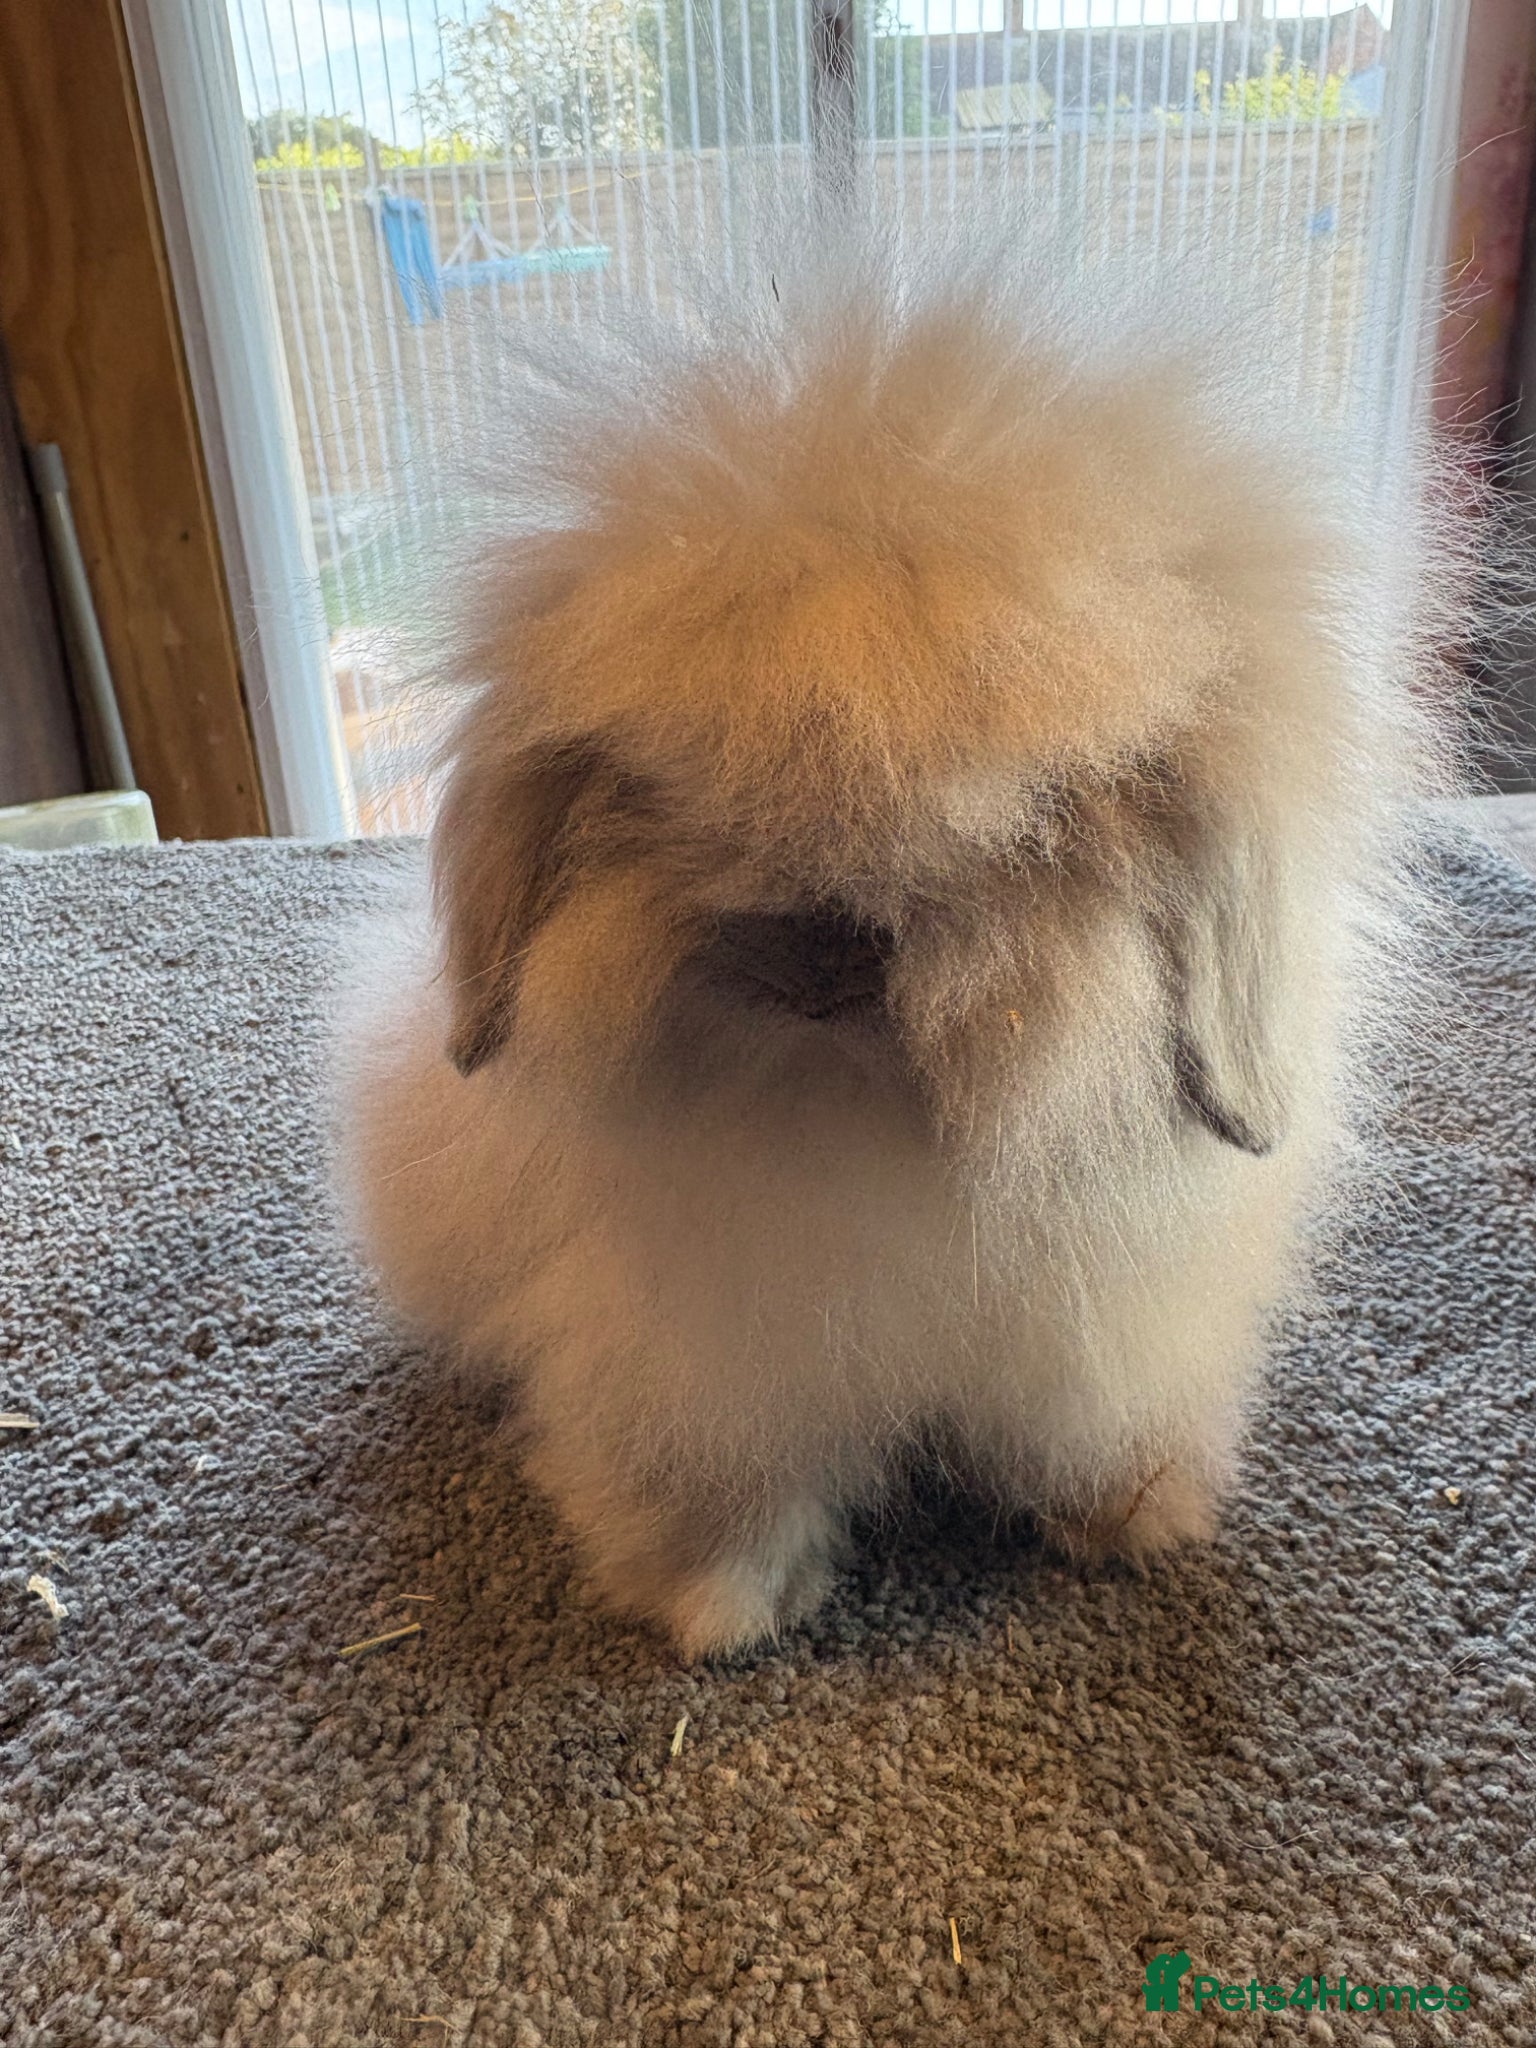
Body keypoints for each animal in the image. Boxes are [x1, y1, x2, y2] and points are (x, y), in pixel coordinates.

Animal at [332, 202, 1457, 1658]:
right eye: (661, 792)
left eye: (1042, 822)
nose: (813, 953)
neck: (867, 1132)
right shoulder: (690, 1355)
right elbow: (716, 1472)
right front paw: (721, 1606)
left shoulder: (1105, 1326)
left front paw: (1134, 1518)